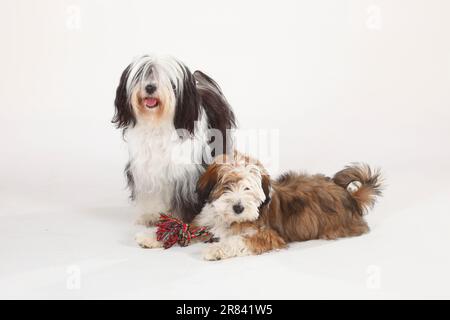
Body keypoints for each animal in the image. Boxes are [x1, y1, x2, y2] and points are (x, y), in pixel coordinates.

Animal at [112, 53, 236, 226]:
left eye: (170, 82)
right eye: (141, 75)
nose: (150, 87)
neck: (158, 123)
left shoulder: (186, 173)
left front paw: (178, 219)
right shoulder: (145, 170)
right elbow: (152, 194)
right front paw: (151, 215)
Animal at [194, 152, 384, 260]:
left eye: (248, 188)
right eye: (227, 185)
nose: (238, 208)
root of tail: (349, 196)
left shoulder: (269, 235)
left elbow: (238, 240)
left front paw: (215, 250)